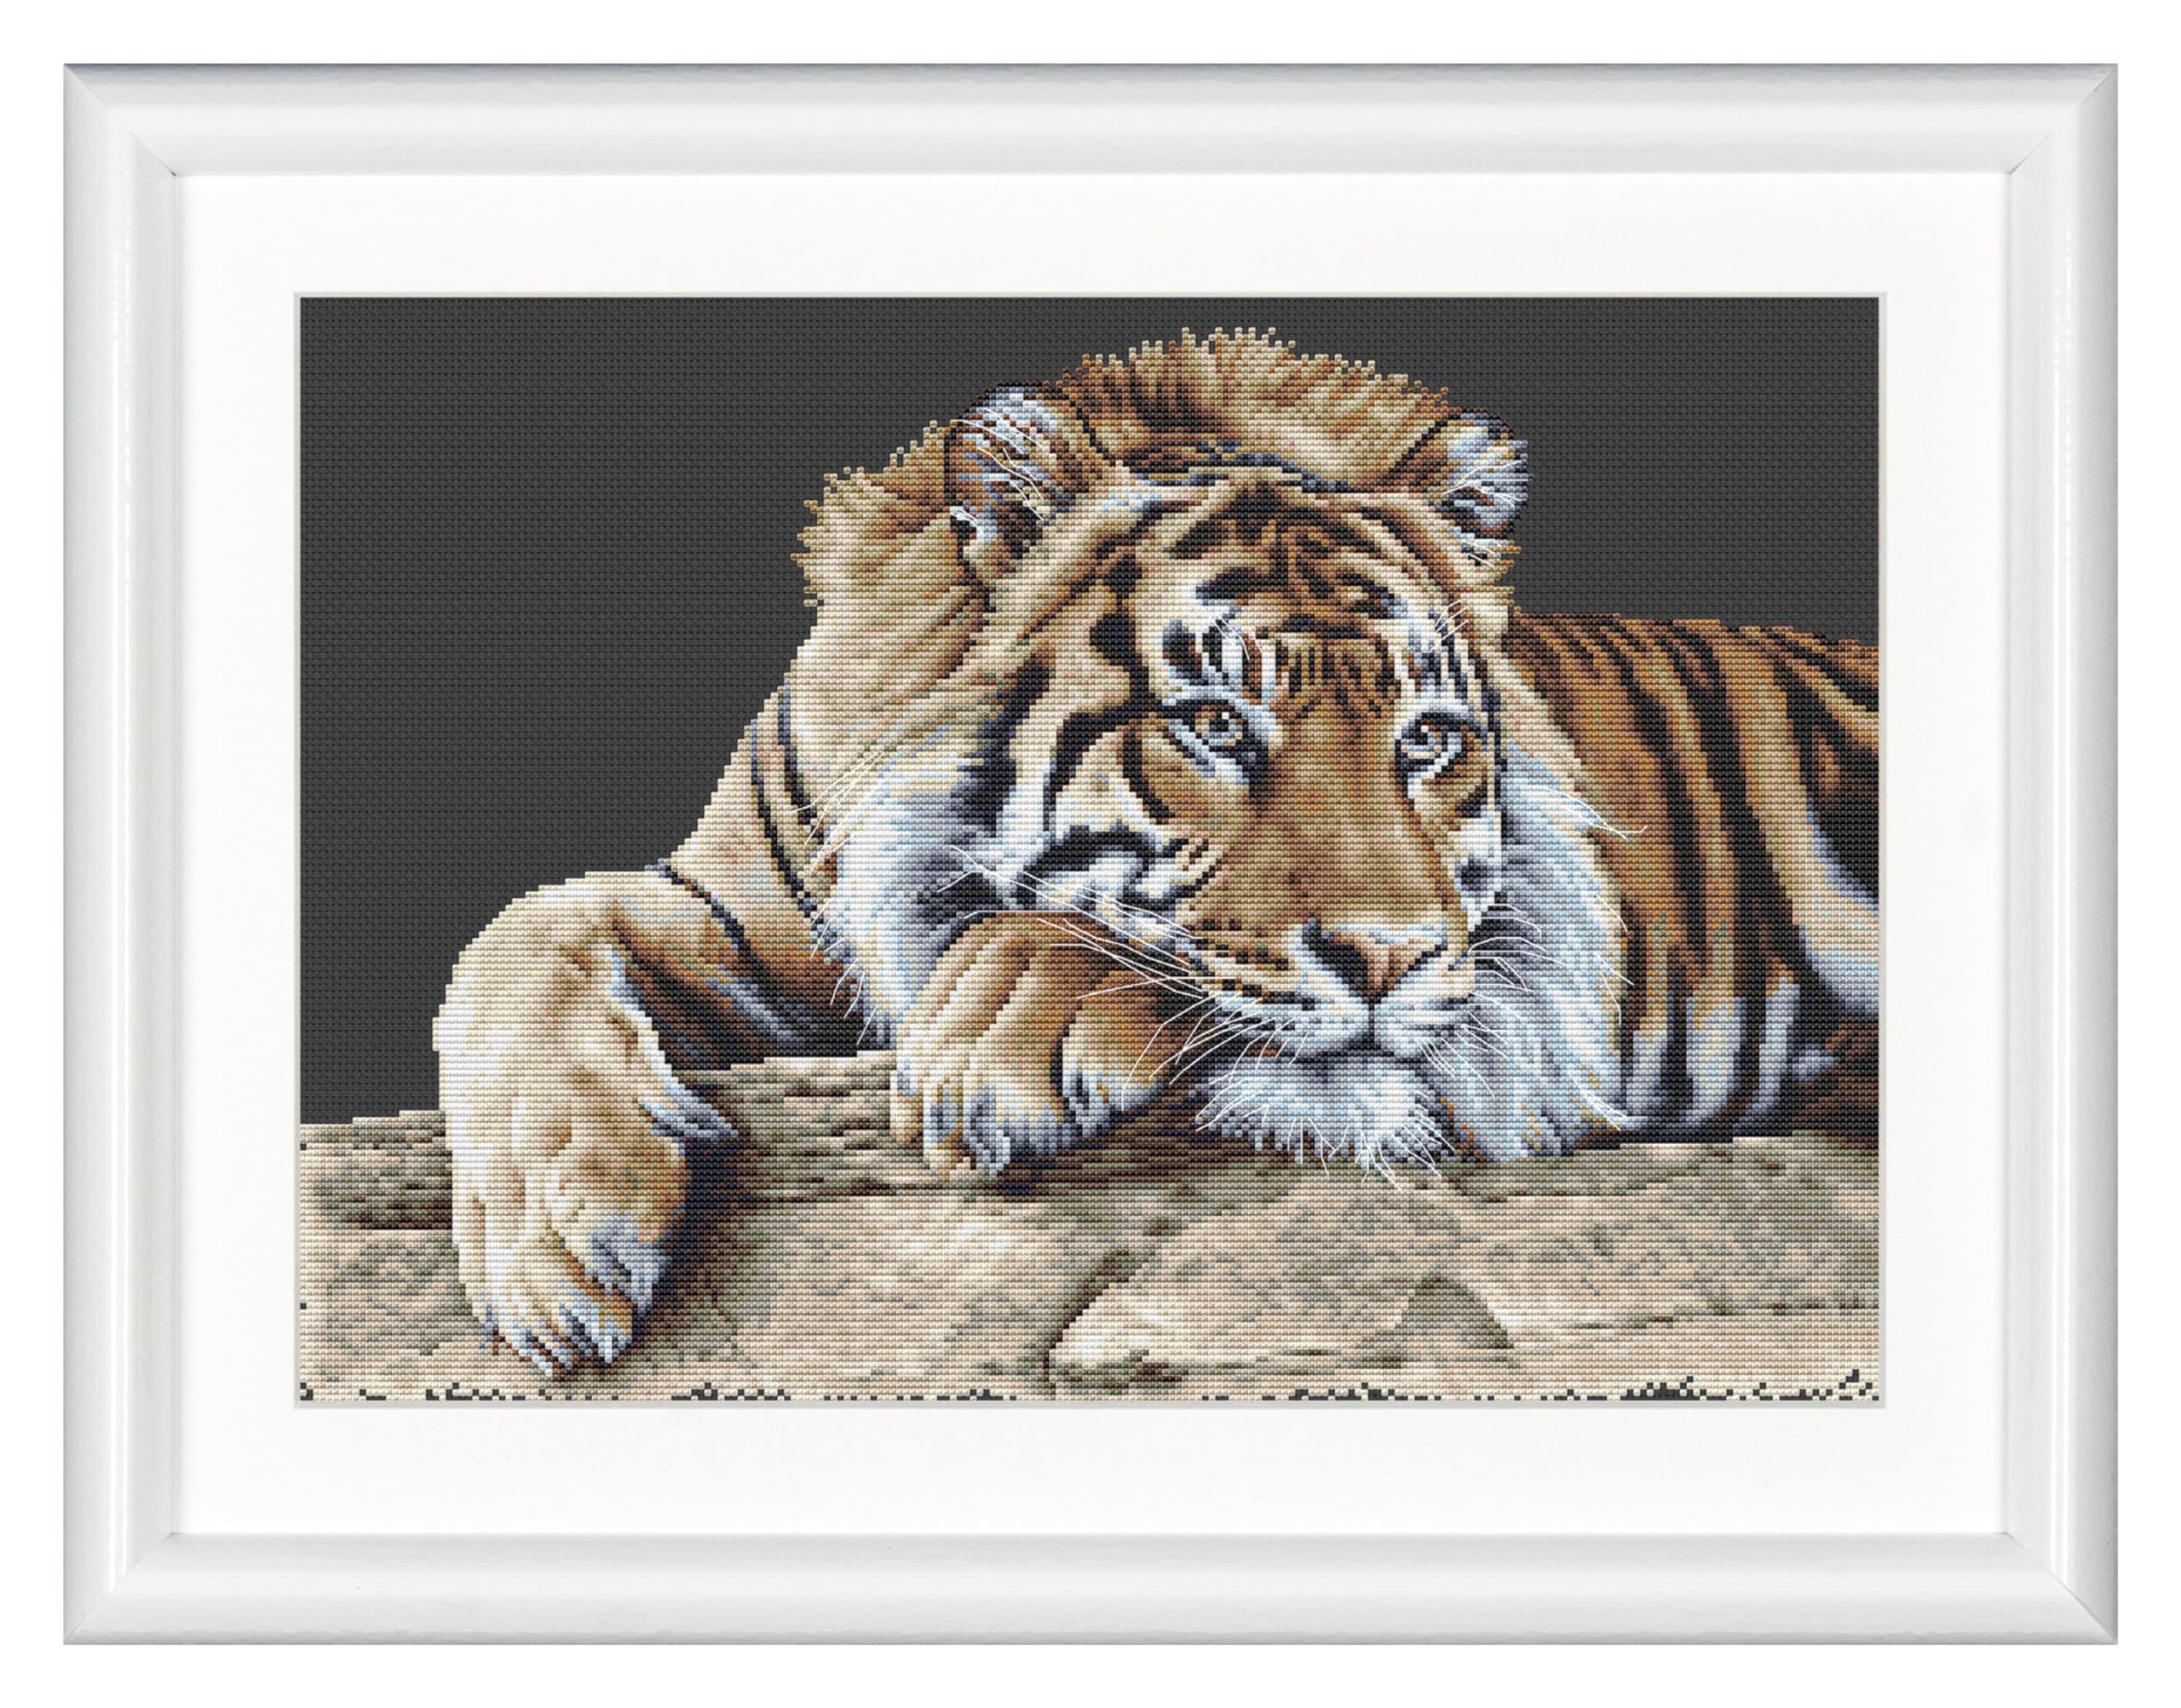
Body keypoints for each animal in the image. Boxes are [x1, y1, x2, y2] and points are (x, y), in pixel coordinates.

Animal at [435, 330, 1878, 1373]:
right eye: (1214, 724)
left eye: (1425, 739)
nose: (1389, 959)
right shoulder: (735, 913)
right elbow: (518, 933)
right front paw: (559, 1242)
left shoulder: (1512, 1010)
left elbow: (1119, 952)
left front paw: (994, 1034)